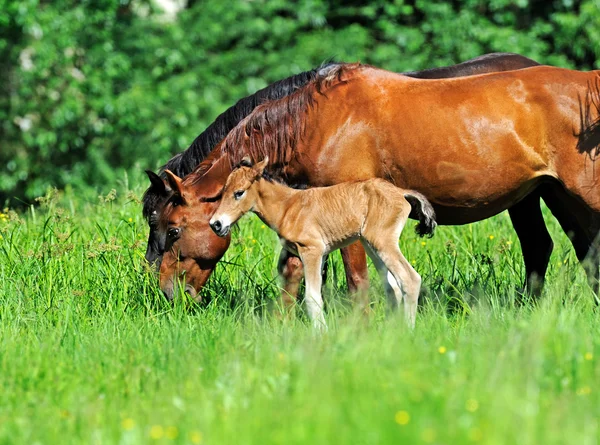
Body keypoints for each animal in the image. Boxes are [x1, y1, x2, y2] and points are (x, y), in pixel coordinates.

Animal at [206, 157, 436, 330]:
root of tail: (401, 192)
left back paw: (407, 331)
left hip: (383, 241)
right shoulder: (322, 253)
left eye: (239, 192)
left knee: (409, 279)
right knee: (392, 286)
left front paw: (320, 335)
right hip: (371, 244)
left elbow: (312, 296)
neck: (287, 206)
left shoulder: (312, 250)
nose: (216, 224)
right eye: (222, 191)